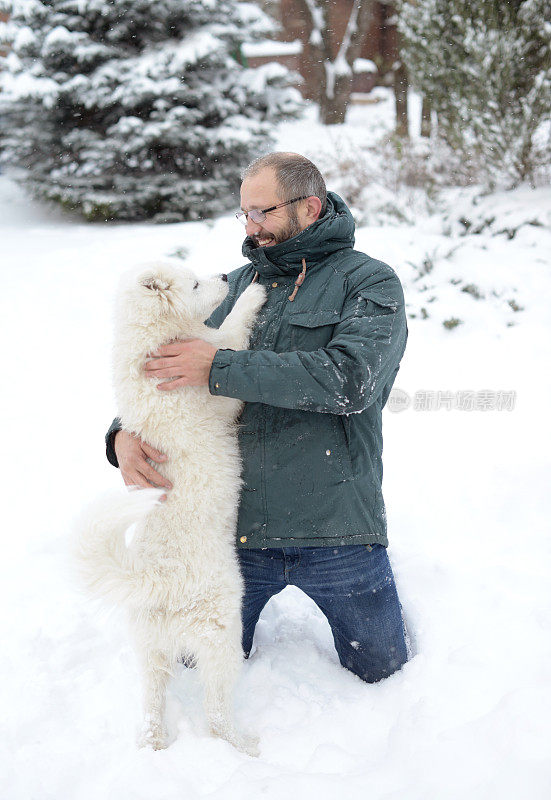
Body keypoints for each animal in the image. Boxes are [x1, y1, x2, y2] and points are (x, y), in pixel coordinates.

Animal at [74, 264, 266, 756]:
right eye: (195, 284)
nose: (227, 274)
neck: (154, 345)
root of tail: (154, 579)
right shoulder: (215, 387)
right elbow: (230, 336)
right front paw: (254, 295)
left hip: (149, 647)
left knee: (152, 702)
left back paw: (155, 743)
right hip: (222, 631)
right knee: (216, 710)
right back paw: (245, 745)